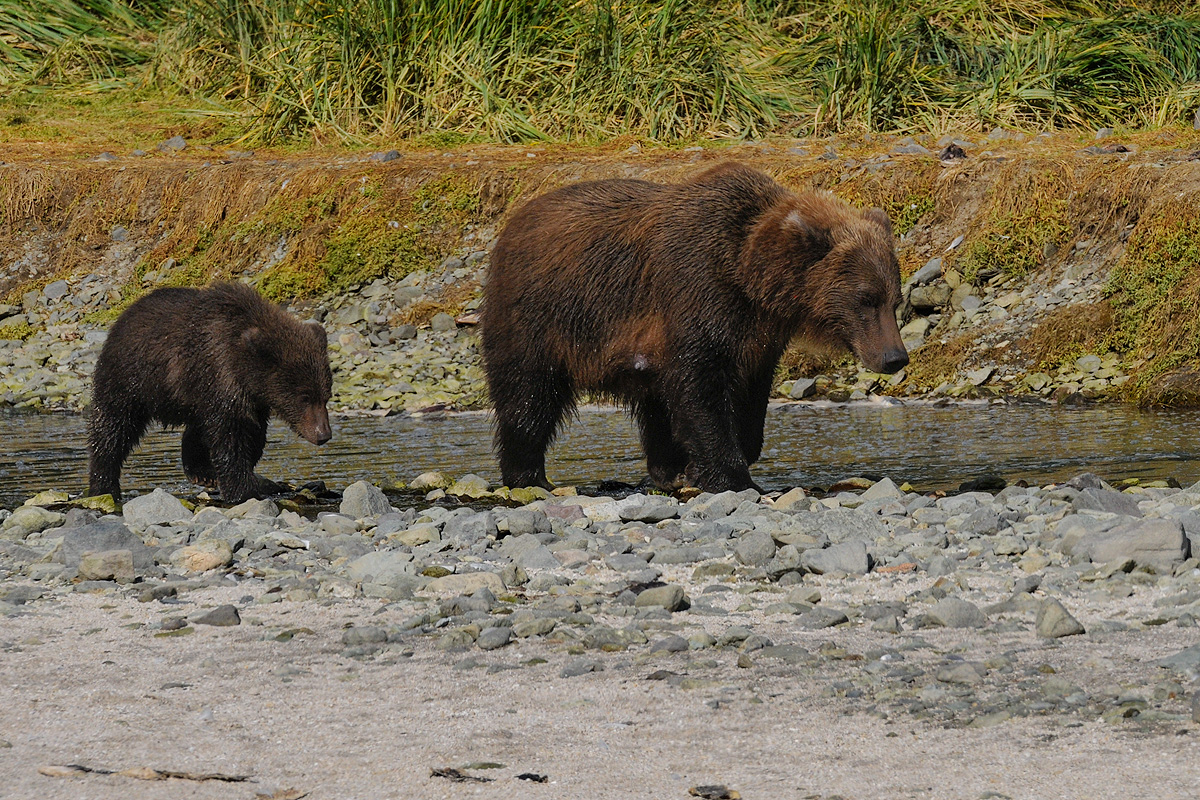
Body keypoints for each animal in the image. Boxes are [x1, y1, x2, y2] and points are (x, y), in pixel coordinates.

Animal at [87, 284, 333, 503]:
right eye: (304, 398)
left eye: (326, 396)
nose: (323, 435)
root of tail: (125, 315)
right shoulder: (219, 373)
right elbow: (231, 439)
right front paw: (243, 491)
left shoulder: (247, 397)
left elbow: (252, 434)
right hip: (130, 378)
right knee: (113, 427)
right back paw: (103, 486)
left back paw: (199, 470)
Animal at [482, 163, 902, 494]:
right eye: (866, 298)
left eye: (894, 299)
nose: (895, 357)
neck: (750, 277)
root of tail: (513, 222)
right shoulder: (697, 293)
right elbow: (700, 389)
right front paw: (730, 475)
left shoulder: (758, 335)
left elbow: (748, 396)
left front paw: (716, 459)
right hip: (541, 314)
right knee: (528, 394)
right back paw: (529, 476)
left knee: (652, 405)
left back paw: (665, 469)